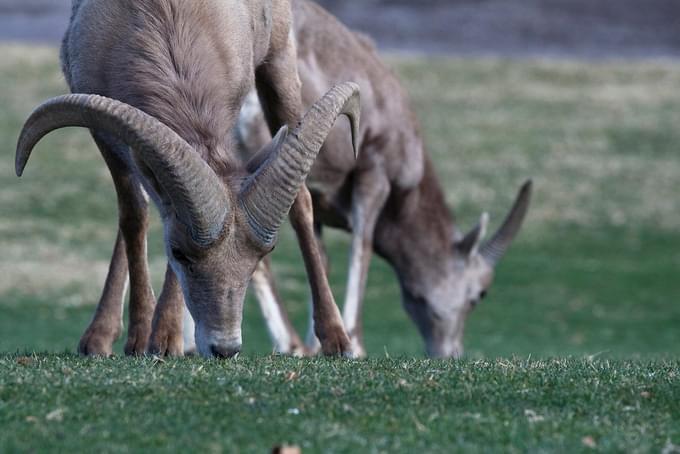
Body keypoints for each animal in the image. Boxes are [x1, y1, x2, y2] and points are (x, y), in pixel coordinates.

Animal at [14, 0, 362, 358]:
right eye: (179, 252)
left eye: (262, 255)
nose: (224, 347)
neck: (163, 20)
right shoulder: (105, 134)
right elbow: (133, 216)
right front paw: (138, 339)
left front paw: (165, 341)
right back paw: (99, 338)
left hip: (279, 64)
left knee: (302, 202)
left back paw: (337, 341)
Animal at [236, 0, 532, 358]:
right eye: (479, 294)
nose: (451, 353)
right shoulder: (373, 175)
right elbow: (361, 246)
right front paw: (353, 345)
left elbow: (322, 256)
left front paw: (321, 344)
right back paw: (289, 344)